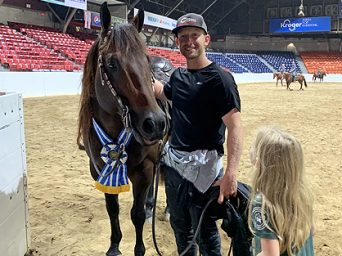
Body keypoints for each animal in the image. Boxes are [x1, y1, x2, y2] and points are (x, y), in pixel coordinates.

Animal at [77, 3, 168, 255]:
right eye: (111, 64)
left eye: (146, 60)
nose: (155, 123)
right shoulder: (99, 169)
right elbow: (113, 208)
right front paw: (114, 245)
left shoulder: (144, 169)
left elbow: (136, 215)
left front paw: (139, 249)